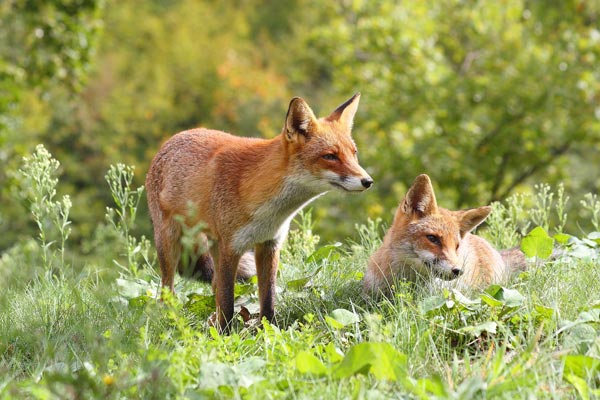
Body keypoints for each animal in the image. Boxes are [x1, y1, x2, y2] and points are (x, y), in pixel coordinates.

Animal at [146, 94, 370, 332]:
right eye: (330, 156)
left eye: (354, 154)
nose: (368, 181)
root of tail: (172, 139)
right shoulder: (229, 248)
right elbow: (227, 302)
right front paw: (224, 335)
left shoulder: (269, 245)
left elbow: (268, 299)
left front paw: (269, 331)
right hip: (169, 244)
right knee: (167, 290)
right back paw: (170, 318)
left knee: (214, 286)